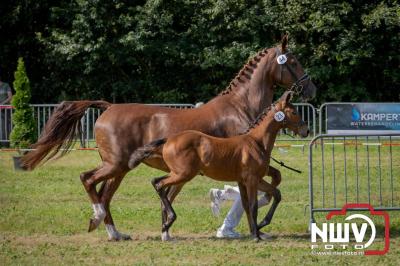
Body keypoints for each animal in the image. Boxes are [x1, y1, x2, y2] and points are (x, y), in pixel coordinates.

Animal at [129, 90, 310, 240]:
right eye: (294, 112)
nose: (306, 131)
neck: (256, 142)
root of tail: (169, 139)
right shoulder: (251, 180)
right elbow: (253, 205)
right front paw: (257, 235)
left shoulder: (251, 180)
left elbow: (273, 195)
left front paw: (259, 227)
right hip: (183, 174)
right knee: (159, 184)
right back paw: (169, 222)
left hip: (179, 173)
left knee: (156, 182)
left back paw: (166, 227)